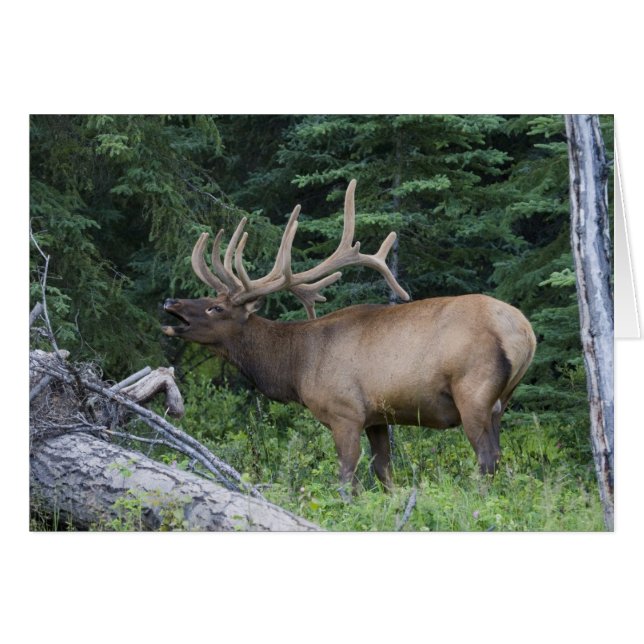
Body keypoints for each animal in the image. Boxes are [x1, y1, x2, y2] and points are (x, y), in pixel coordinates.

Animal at [162, 180, 536, 497]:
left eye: (215, 307)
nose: (170, 302)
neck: (296, 367)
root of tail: (525, 332)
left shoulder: (345, 411)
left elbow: (346, 479)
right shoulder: (377, 417)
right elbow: (384, 473)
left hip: (473, 389)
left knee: (487, 457)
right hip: (502, 399)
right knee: (498, 455)